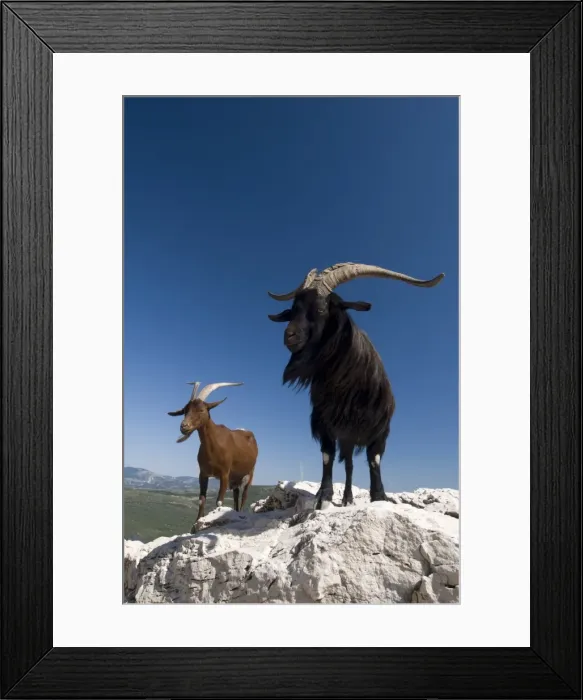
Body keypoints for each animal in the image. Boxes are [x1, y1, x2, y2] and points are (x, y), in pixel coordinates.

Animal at [168, 381, 258, 531]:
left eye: (201, 410)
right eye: (185, 410)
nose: (184, 426)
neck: (213, 446)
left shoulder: (224, 474)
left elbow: (219, 502)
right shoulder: (203, 474)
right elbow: (201, 500)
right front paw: (195, 526)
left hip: (249, 473)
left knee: (244, 495)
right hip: (235, 478)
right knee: (236, 494)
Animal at [267, 262, 444, 510]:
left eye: (321, 309)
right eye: (293, 309)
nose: (289, 335)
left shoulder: (380, 429)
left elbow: (374, 460)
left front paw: (379, 496)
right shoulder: (326, 423)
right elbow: (328, 456)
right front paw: (324, 495)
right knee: (349, 465)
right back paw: (347, 497)